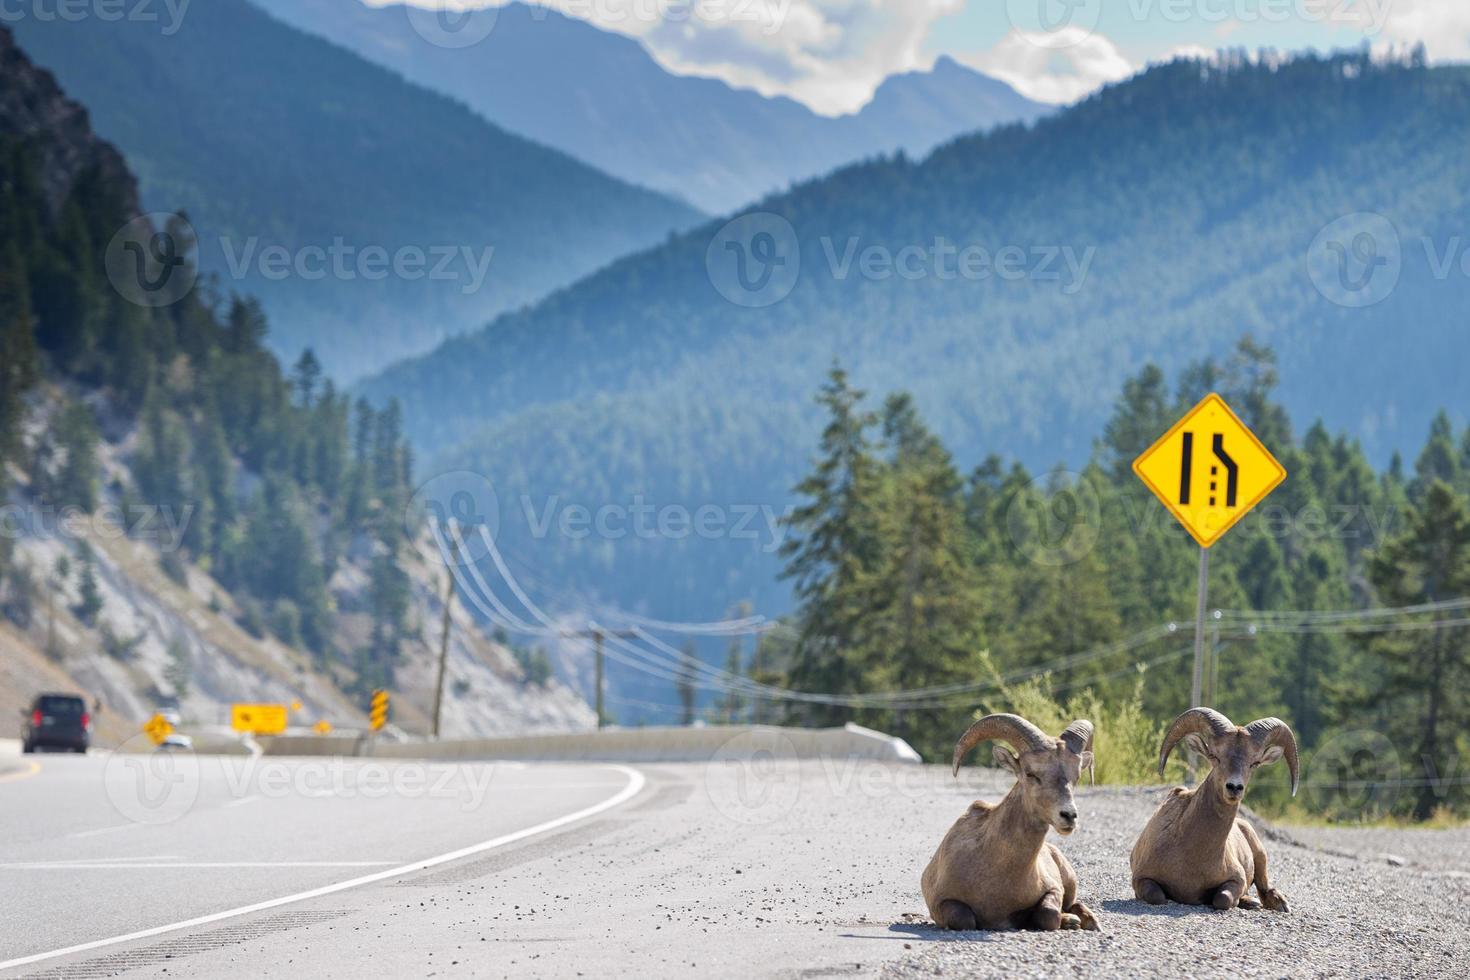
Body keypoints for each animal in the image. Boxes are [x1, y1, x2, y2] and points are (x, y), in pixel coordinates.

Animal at [923, 714, 1099, 934]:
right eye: (1030, 773)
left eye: (1076, 777)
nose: (1069, 815)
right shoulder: (942, 902)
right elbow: (964, 919)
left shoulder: (1053, 889)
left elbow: (1049, 914)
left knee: (1073, 904)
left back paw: (1086, 921)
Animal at [1123, 705, 1299, 910]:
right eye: (1214, 756)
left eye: (1254, 763)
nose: (1234, 787)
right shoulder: (1141, 879)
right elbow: (1157, 896)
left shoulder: (1236, 880)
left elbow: (1223, 898)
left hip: (1260, 853)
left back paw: (1273, 903)